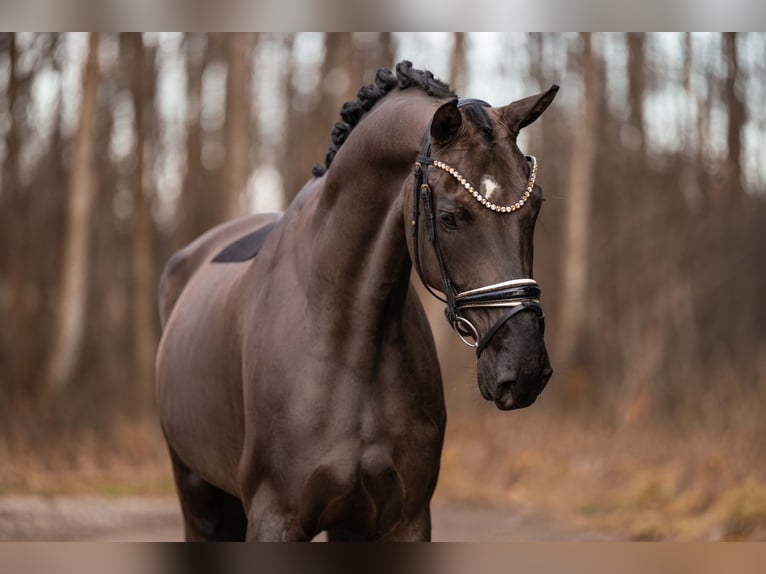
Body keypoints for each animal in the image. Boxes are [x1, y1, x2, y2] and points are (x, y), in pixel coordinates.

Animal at [156, 61, 558, 541]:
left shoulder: (404, 519)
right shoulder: (275, 517)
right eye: (449, 218)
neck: (348, 337)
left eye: (535, 206)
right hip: (197, 494)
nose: (525, 367)